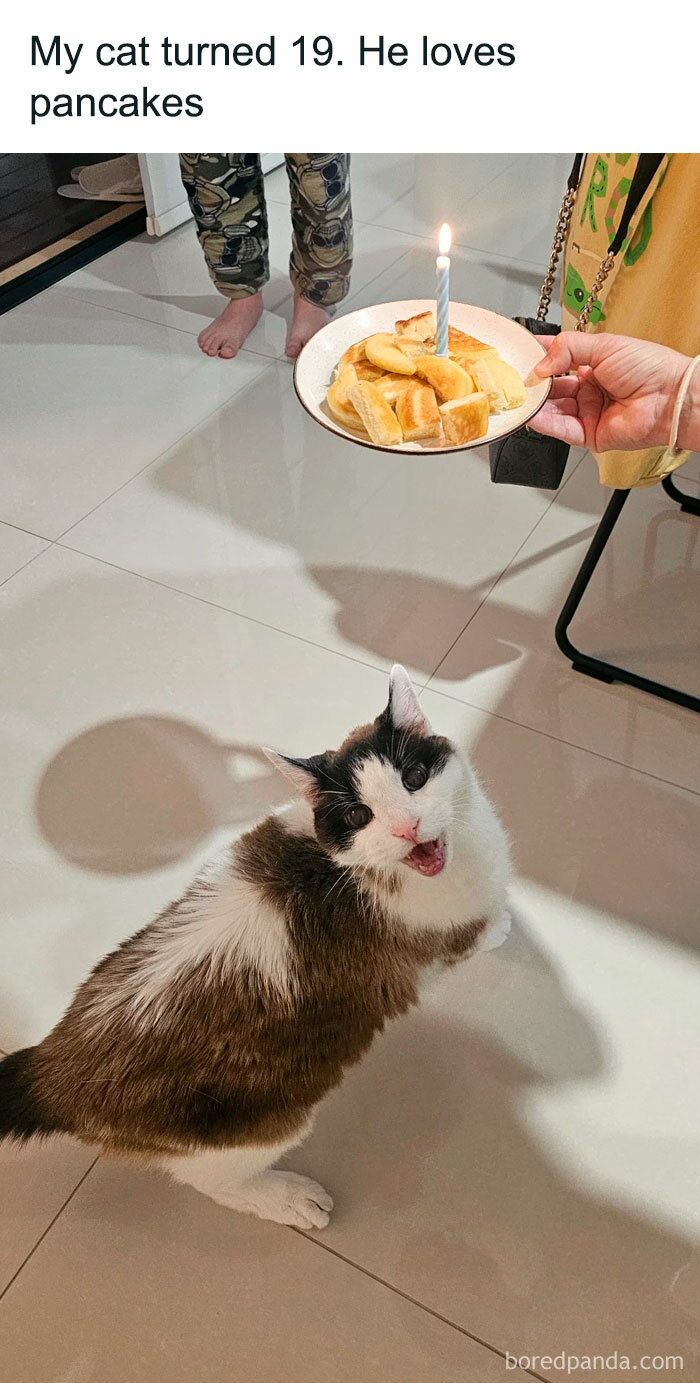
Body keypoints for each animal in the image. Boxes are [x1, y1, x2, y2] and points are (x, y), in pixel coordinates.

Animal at [0, 669, 509, 1233]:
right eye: (359, 814)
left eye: (415, 777)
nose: (407, 827)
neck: (347, 870)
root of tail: (48, 1067)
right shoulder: (448, 930)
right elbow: (478, 932)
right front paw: (503, 927)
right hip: (252, 1122)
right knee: (211, 1181)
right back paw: (284, 1197)